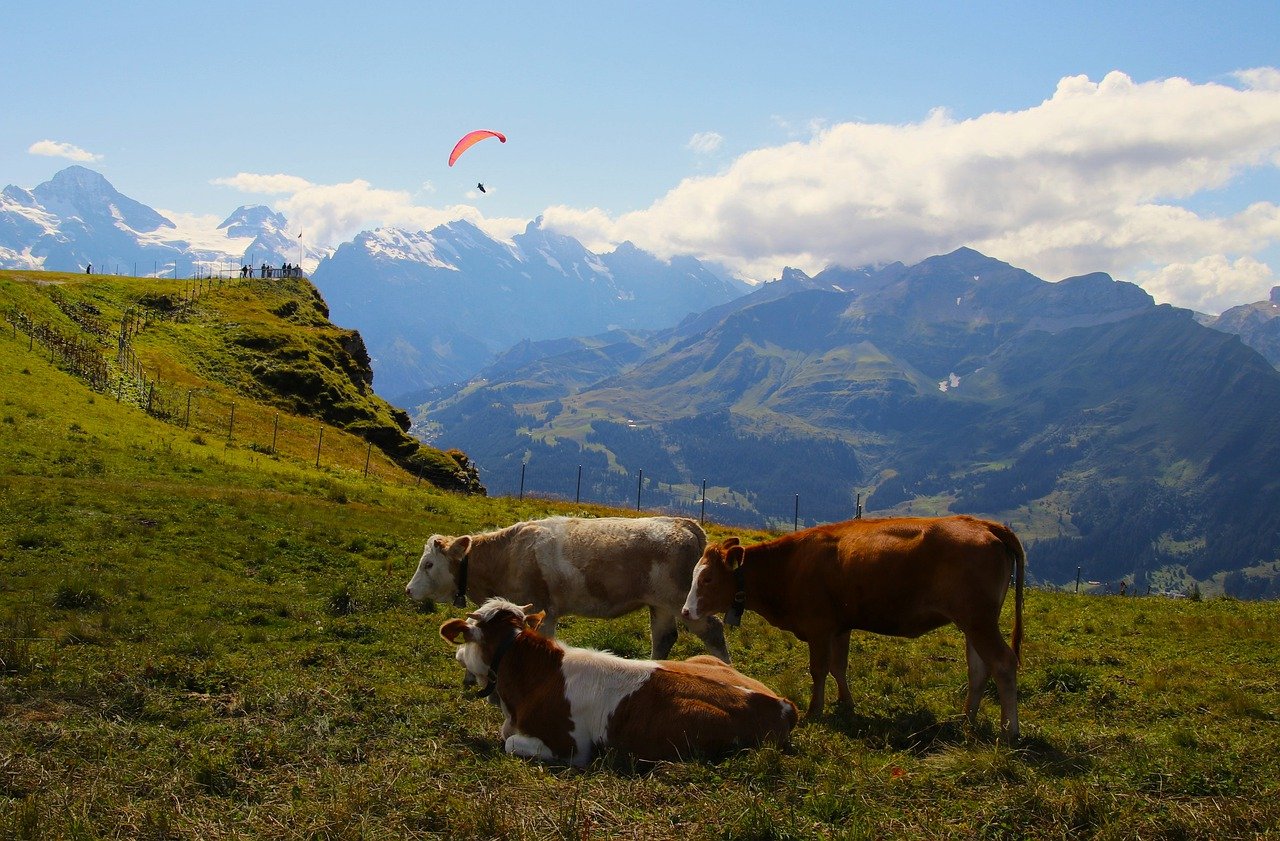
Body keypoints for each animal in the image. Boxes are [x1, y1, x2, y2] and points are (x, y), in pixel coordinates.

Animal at [409, 514, 732, 660]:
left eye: (428, 564)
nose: (409, 590)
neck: (508, 555)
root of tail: (684, 523)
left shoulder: (538, 607)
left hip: (684, 601)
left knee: (713, 631)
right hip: (660, 604)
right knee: (664, 638)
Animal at [680, 514, 1029, 737]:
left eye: (707, 578)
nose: (685, 611)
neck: (789, 566)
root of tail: (982, 524)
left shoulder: (819, 627)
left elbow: (819, 669)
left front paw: (815, 710)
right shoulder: (840, 626)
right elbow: (839, 667)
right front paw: (846, 704)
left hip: (978, 620)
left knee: (1003, 662)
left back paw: (1009, 730)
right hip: (974, 623)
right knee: (979, 669)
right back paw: (966, 719)